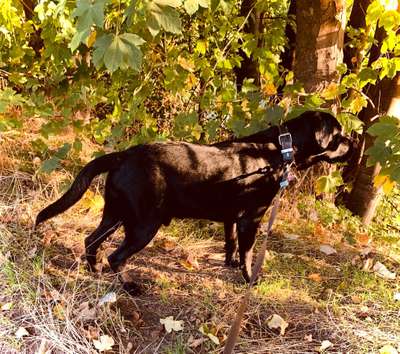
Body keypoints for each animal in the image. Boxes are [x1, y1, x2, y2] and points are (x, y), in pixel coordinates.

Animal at [35, 112, 354, 284]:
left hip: (115, 214)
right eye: (339, 135)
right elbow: (248, 253)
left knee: (91, 240)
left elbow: (231, 244)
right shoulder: (251, 218)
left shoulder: (231, 218)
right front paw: (249, 278)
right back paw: (128, 285)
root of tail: (124, 154)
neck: (280, 150)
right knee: (117, 256)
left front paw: (229, 264)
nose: (355, 142)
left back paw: (95, 270)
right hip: (143, 225)